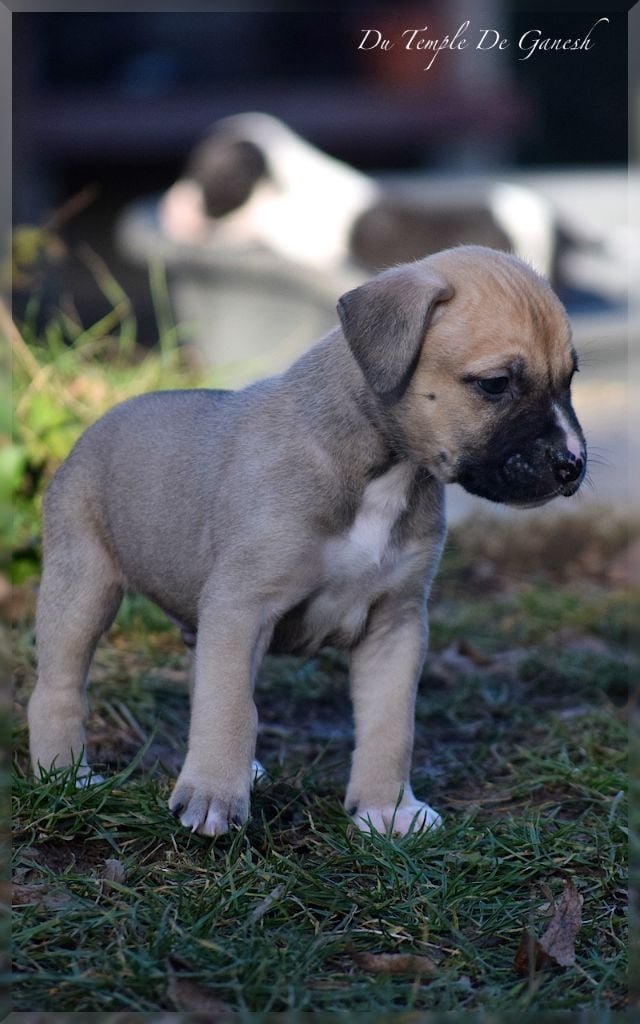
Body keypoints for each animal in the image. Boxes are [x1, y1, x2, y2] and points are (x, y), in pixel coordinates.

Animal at [27, 243, 585, 835]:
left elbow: (390, 727)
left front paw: (386, 809)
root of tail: (102, 420)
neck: (382, 469)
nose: (572, 464)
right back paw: (66, 776)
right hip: (82, 587)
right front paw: (213, 795)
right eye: (495, 384)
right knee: (59, 689)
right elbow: (231, 708)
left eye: (570, 378)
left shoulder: (395, 626)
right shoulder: (242, 607)